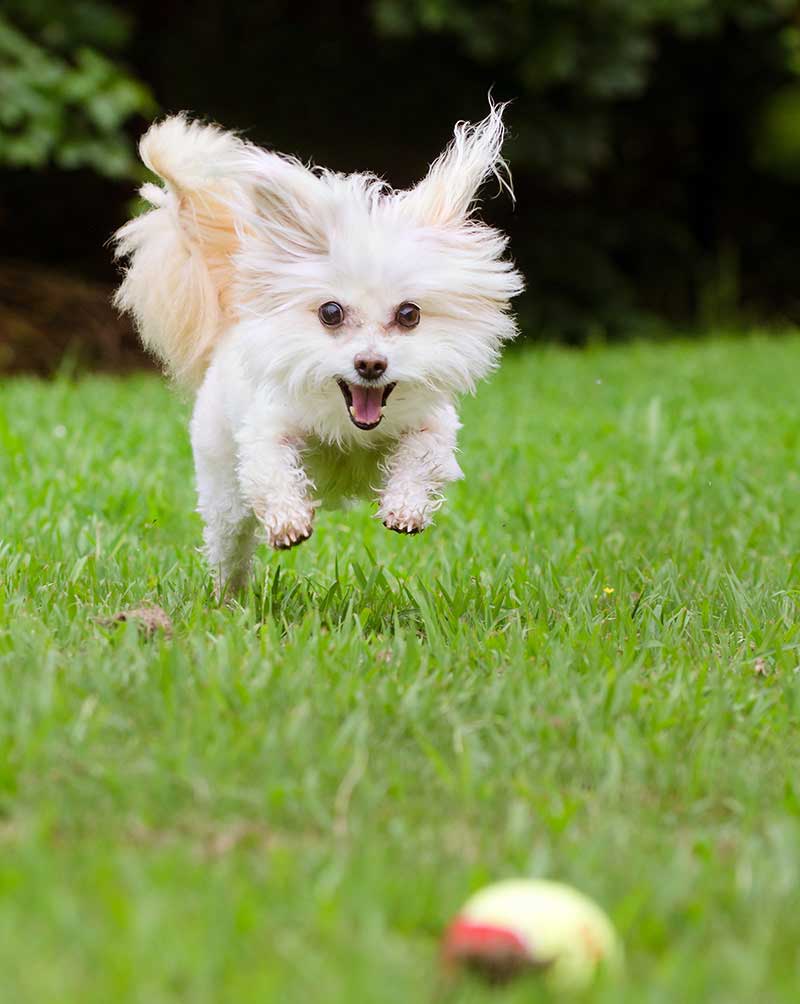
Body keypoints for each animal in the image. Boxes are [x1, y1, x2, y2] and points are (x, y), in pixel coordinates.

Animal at [113, 103, 525, 586]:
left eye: (409, 314)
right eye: (331, 312)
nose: (370, 364)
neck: (351, 428)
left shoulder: (433, 424)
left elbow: (422, 455)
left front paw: (405, 508)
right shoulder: (267, 428)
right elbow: (271, 467)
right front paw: (288, 522)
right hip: (222, 490)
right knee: (229, 545)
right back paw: (227, 595)